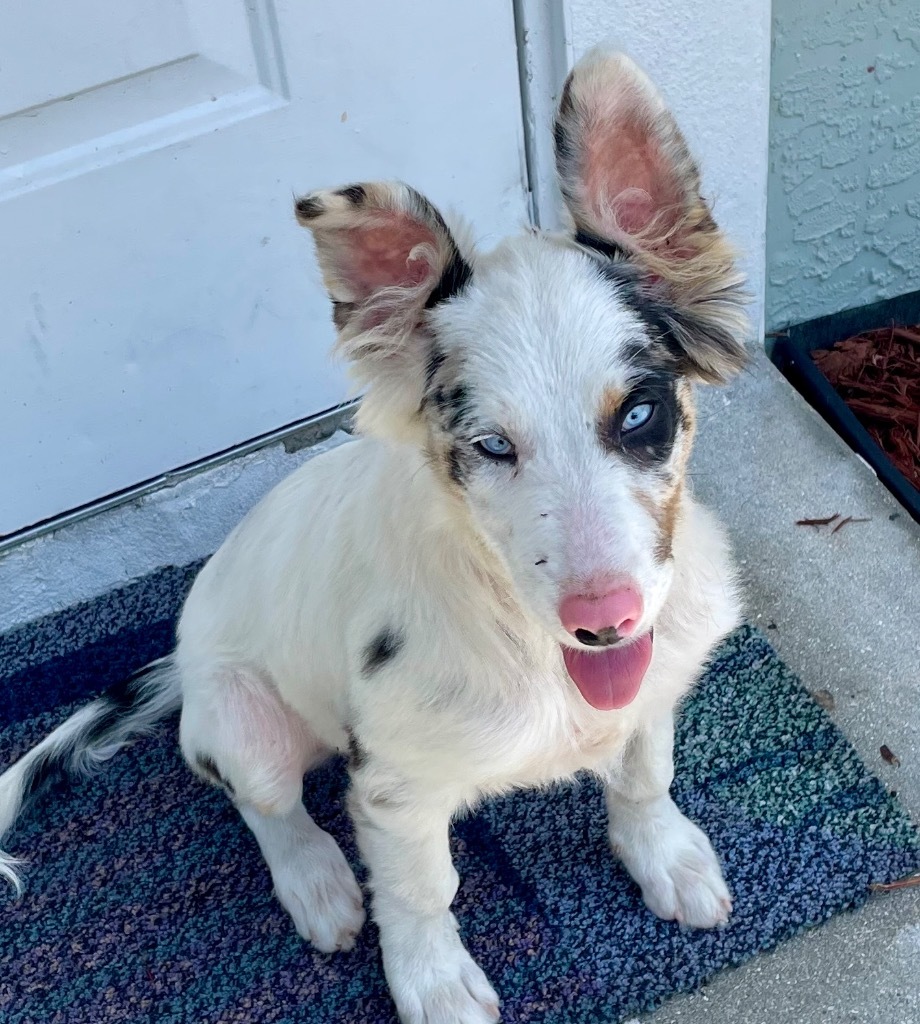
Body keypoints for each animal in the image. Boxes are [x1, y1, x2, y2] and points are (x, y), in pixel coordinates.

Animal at [0, 48, 745, 1024]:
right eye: (491, 446)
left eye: (640, 414)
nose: (605, 621)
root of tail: (184, 664)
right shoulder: (396, 786)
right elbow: (423, 892)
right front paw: (433, 983)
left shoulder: (655, 677)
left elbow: (643, 770)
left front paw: (664, 853)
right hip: (243, 722)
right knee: (261, 802)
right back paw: (316, 881)